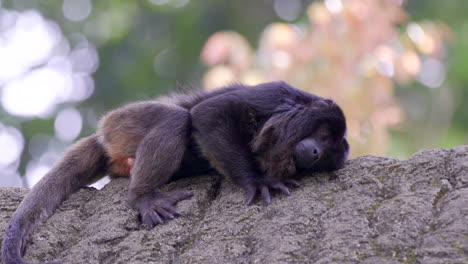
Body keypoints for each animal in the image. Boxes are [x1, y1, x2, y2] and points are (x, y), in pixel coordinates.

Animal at [1, 81, 350, 264]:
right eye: (323, 136)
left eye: (325, 158)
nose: (315, 154)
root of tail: (102, 134)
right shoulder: (277, 93)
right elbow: (209, 113)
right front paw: (257, 180)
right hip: (121, 124)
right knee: (176, 119)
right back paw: (143, 196)